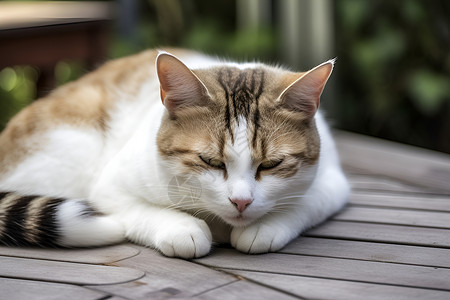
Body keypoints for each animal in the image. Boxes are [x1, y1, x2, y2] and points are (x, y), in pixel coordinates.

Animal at [0, 49, 350, 258]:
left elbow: (303, 204)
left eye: (271, 164)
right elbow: (140, 211)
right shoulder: (109, 186)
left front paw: (265, 226)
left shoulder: (332, 182)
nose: (241, 202)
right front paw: (183, 227)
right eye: (210, 161)